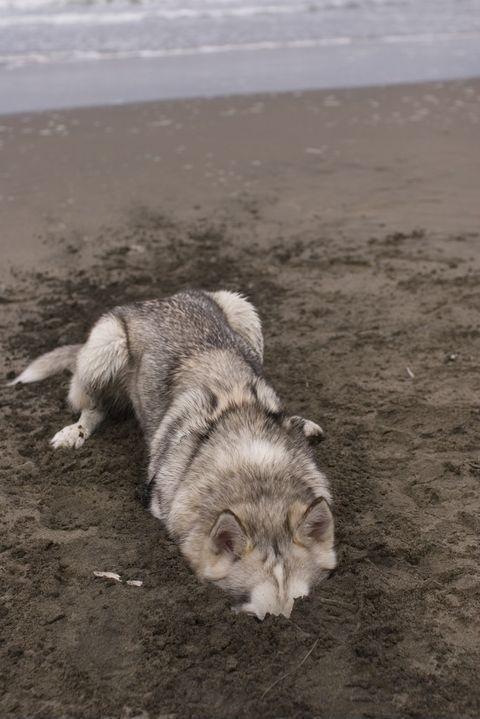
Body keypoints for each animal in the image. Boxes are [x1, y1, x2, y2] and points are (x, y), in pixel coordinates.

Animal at [10, 290, 334, 616]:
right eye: (258, 619)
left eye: (301, 607)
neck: (255, 473)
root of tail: (160, 298)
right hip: (105, 349)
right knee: (94, 407)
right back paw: (74, 432)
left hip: (243, 312)